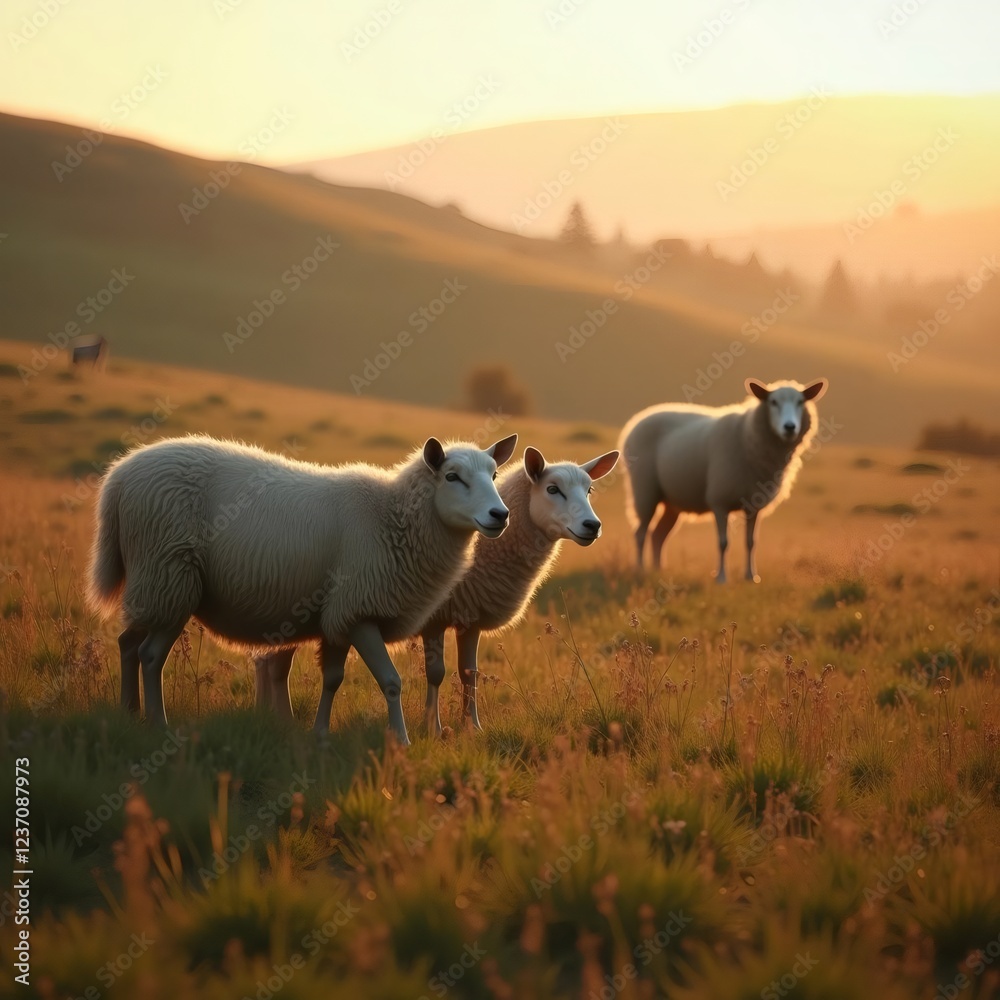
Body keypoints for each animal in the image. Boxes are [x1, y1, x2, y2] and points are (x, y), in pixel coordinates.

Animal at [87, 432, 518, 745]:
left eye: (495, 476)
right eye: (452, 477)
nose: (500, 515)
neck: (394, 518)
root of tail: (120, 476)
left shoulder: (339, 616)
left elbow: (333, 679)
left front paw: (320, 733)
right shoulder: (359, 610)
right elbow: (391, 682)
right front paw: (401, 740)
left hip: (153, 583)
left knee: (128, 643)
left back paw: (127, 712)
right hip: (169, 577)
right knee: (150, 655)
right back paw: (157, 724)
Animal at [255, 446, 619, 735]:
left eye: (589, 490)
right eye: (553, 489)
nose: (592, 526)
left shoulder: (470, 618)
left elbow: (470, 673)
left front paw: (472, 726)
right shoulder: (435, 619)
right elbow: (437, 673)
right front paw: (434, 726)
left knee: (270, 661)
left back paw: (270, 717)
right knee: (272, 663)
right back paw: (274, 718)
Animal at [619, 378, 828, 582]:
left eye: (801, 402)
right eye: (773, 402)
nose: (790, 427)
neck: (747, 436)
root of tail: (637, 420)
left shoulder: (754, 505)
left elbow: (751, 542)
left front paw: (751, 576)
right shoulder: (720, 500)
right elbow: (723, 542)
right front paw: (721, 577)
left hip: (672, 501)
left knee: (658, 535)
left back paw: (659, 569)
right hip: (644, 491)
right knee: (641, 533)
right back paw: (640, 569)